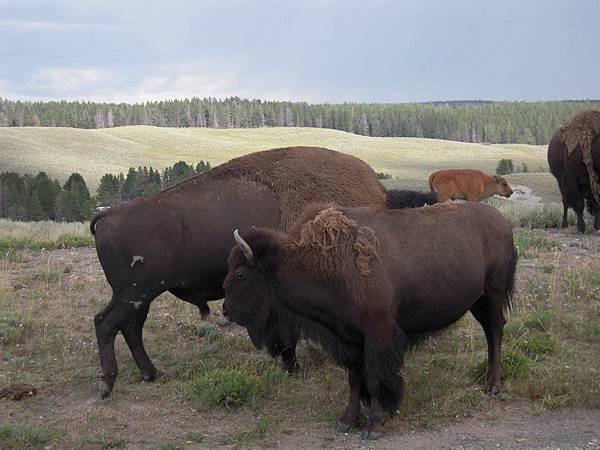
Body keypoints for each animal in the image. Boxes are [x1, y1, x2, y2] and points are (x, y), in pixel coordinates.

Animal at [91, 145, 386, 398]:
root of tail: (109, 215)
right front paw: (294, 368)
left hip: (140, 296)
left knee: (130, 328)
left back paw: (151, 374)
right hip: (136, 293)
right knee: (106, 323)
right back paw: (108, 386)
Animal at [223, 201, 516, 440]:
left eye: (240, 274)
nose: (226, 310)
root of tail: (501, 222)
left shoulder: (378, 334)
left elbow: (375, 378)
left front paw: (373, 426)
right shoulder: (349, 339)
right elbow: (354, 379)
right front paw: (346, 421)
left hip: (492, 294)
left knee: (495, 331)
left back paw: (492, 385)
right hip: (478, 301)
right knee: (491, 332)